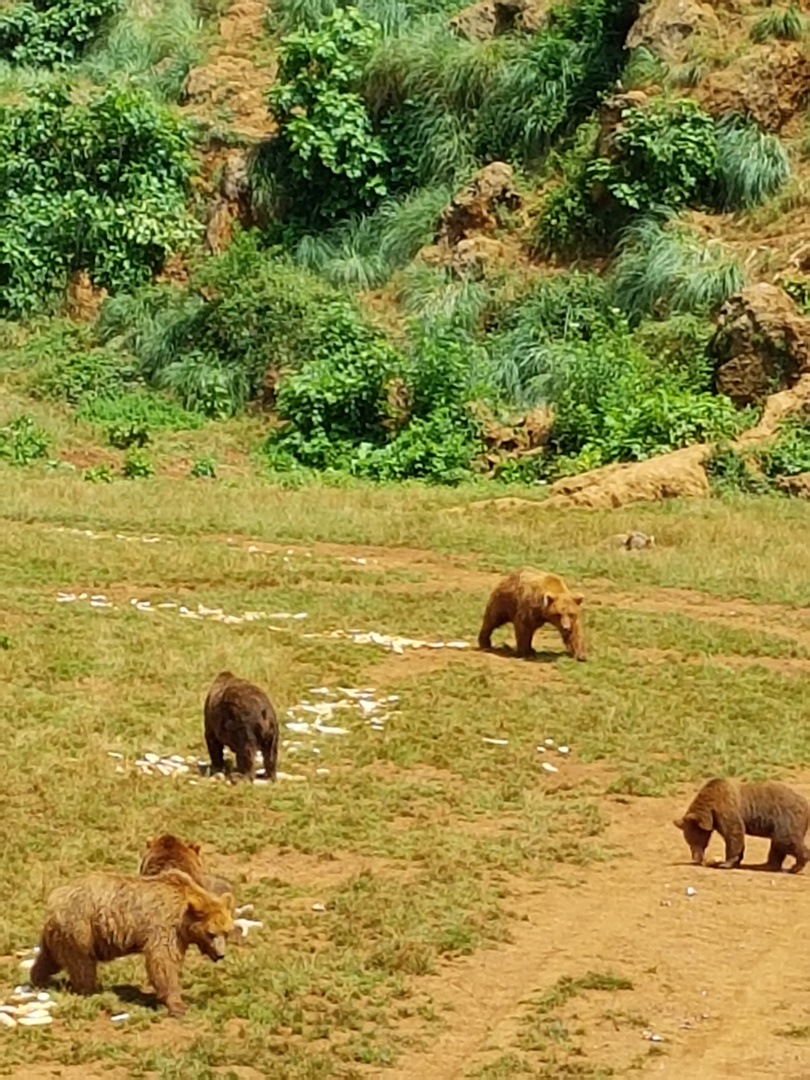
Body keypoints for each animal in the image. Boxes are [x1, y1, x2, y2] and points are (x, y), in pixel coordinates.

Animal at [28, 868, 236, 1010]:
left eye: (226, 932)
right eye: (211, 933)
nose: (221, 954)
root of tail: (54, 900)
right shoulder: (164, 926)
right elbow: (163, 962)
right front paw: (177, 1004)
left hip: (59, 934)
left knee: (49, 959)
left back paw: (38, 979)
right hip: (81, 926)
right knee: (82, 963)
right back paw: (90, 990)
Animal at [673, 777, 807, 868]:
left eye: (695, 840)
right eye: (688, 841)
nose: (696, 858)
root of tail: (805, 803)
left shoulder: (726, 810)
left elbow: (734, 833)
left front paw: (725, 863)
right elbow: (734, 836)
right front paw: (736, 860)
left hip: (786, 819)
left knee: (785, 840)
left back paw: (797, 865)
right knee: (777, 845)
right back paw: (768, 864)